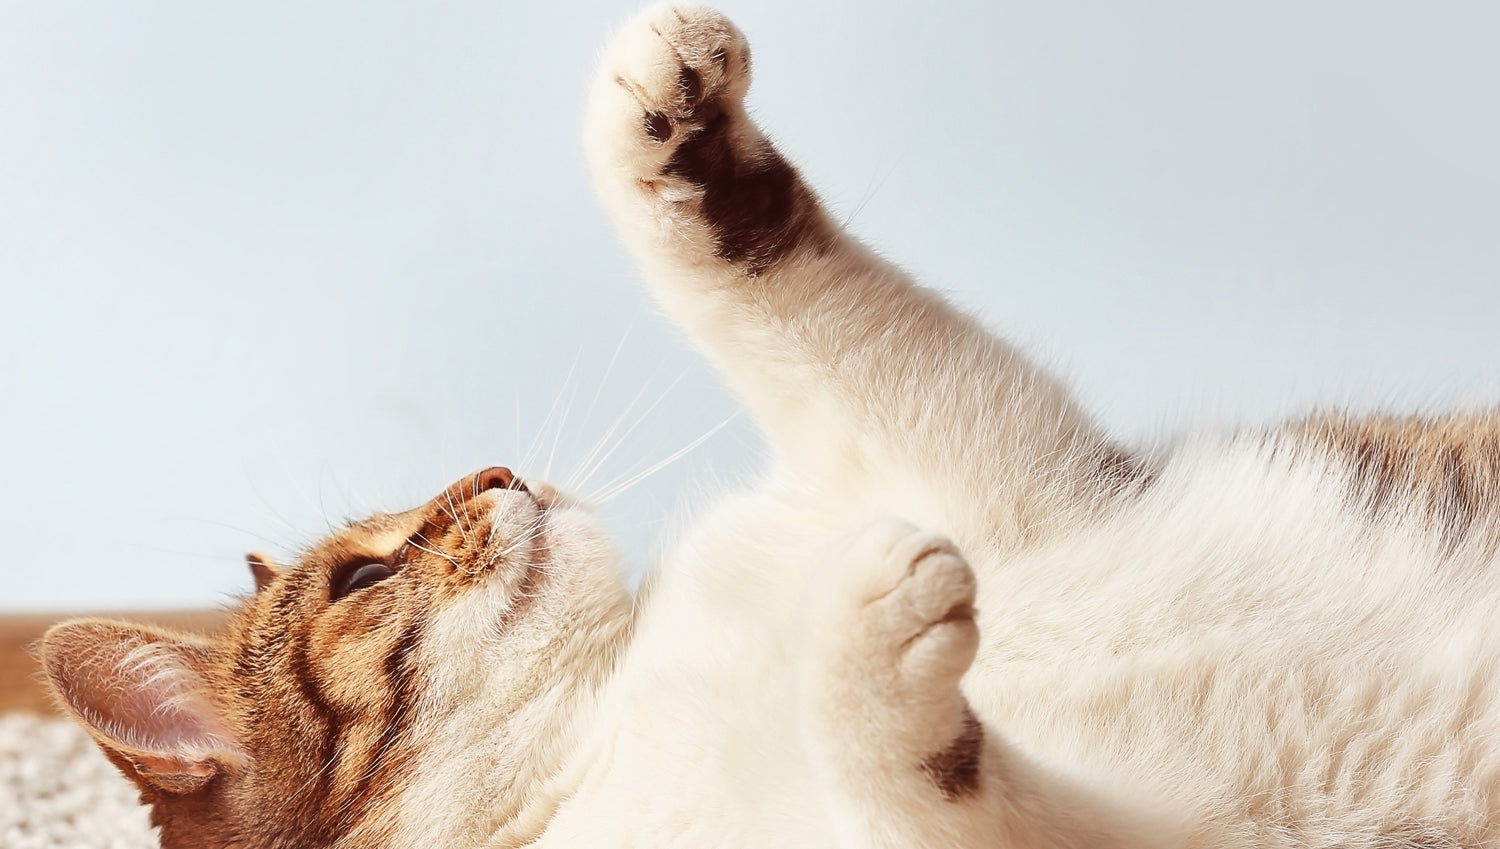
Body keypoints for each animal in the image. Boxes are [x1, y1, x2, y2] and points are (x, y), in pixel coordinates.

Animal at [32, 6, 1500, 849]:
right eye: (365, 577)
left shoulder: (975, 466)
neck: (606, 733)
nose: (503, 467)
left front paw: (668, 125)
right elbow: (936, 798)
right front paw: (869, 652)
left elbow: (761, 277)